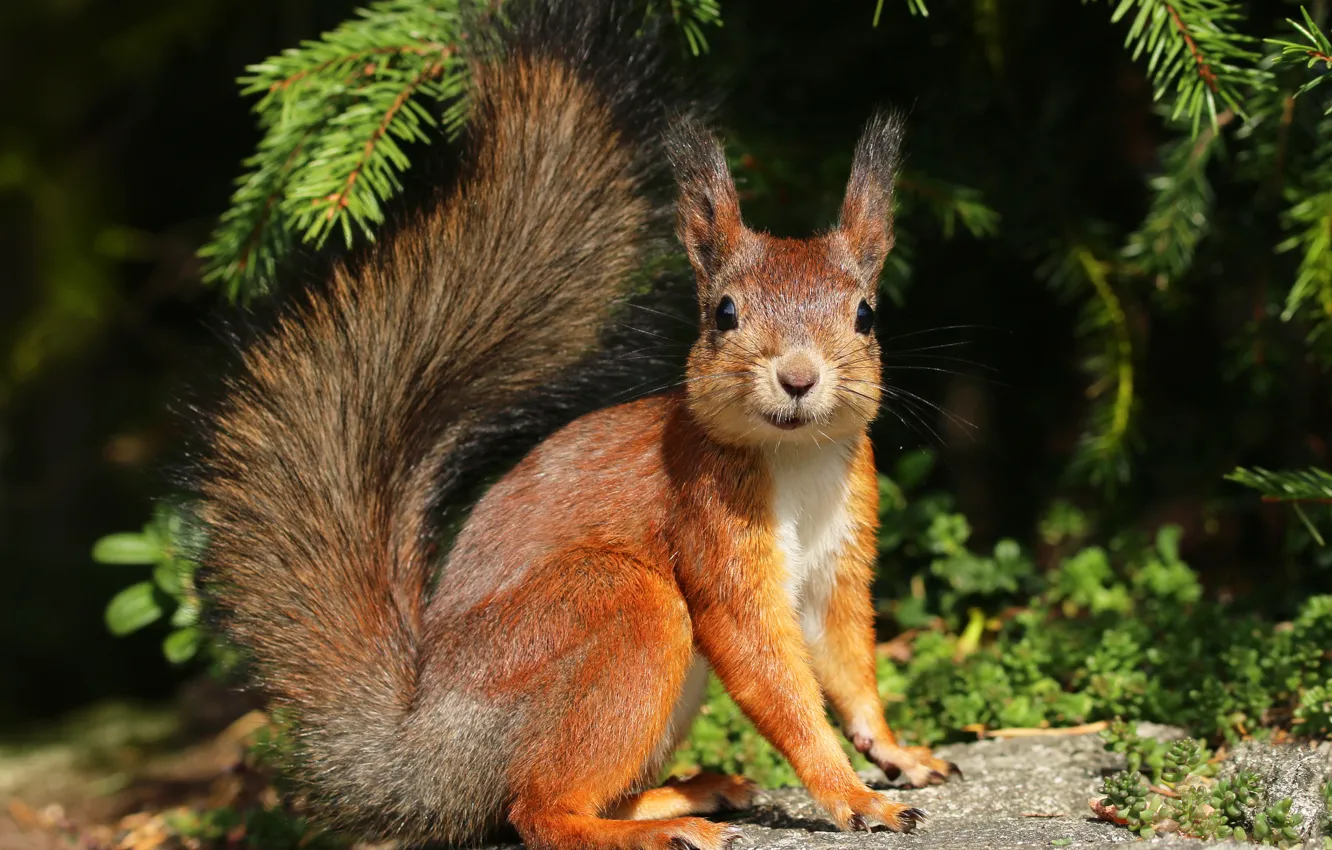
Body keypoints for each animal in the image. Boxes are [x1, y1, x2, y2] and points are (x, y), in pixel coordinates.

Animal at [195, 1, 960, 848]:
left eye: (866, 316)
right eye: (723, 314)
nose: (798, 377)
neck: (794, 461)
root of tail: (419, 753)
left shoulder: (840, 560)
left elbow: (850, 664)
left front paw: (897, 754)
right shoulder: (709, 527)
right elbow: (770, 674)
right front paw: (851, 793)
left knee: (570, 794)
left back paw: (687, 795)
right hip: (618, 609)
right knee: (538, 808)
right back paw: (652, 829)